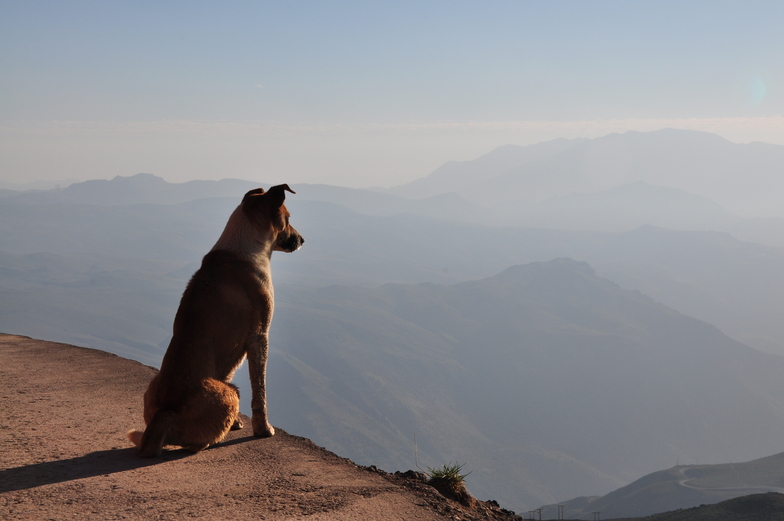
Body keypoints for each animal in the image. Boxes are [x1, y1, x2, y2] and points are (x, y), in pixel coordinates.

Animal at [129, 185, 304, 458]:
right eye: (288, 218)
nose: (302, 240)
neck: (246, 246)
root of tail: (166, 412)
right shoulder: (259, 336)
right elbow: (260, 391)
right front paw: (263, 429)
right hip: (230, 393)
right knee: (195, 444)